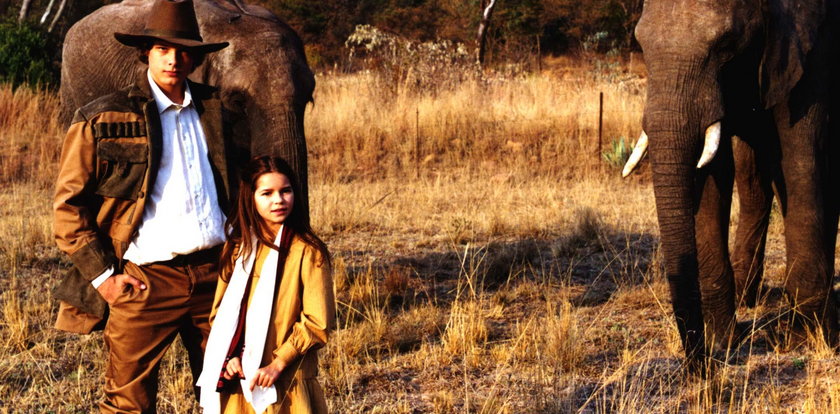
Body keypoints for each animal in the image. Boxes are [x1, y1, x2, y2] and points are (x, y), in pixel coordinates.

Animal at [624, 0, 840, 368]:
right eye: (640, 43)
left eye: (726, 43)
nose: (703, 365)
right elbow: (713, 173)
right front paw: (724, 340)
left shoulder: (811, 51)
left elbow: (800, 159)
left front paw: (807, 340)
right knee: (753, 181)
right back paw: (746, 296)